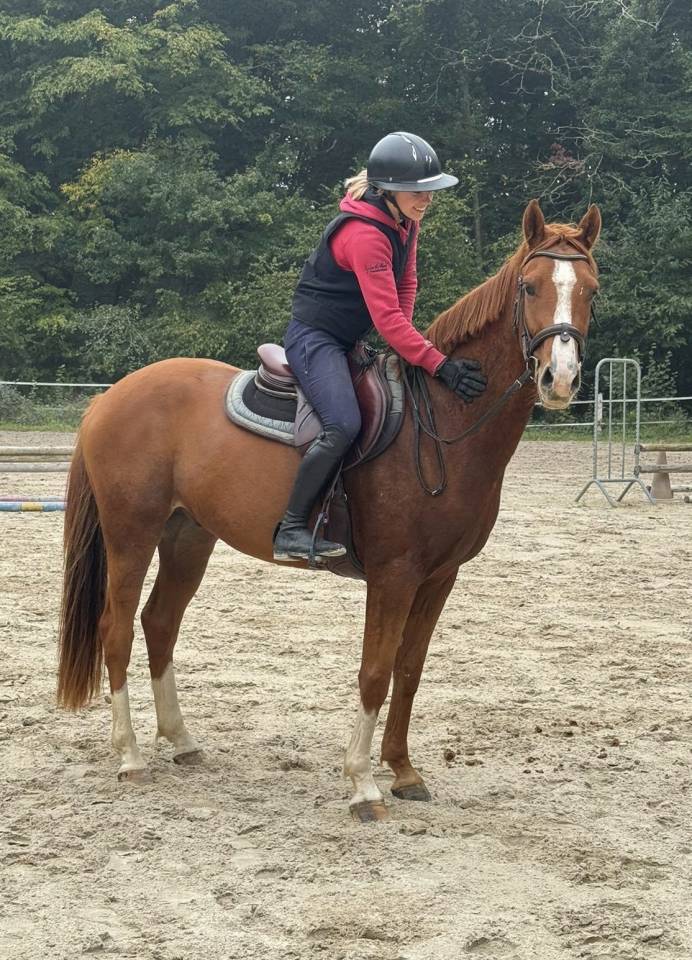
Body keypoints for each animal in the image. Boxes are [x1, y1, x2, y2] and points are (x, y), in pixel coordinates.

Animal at [57, 199, 601, 822]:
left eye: (592, 292)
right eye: (530, 286)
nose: (560, 378)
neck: (440, 422)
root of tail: (111, 396)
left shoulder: (440, 577)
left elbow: (409, 669)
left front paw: (404, 771)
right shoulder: (394, 576)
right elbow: (375, 671)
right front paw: (363, 784)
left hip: (187, 536)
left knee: (159, 623)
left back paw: (182, 740)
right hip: (132, 534)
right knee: (116, 628)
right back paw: (129, 757)